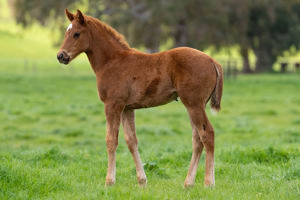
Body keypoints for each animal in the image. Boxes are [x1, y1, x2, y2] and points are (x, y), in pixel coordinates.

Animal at [58, 9, 223, 188]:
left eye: (76, 33)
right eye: (66, 33)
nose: (61, 56)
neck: (112, 61)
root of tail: (213, 61)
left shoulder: (112, 104)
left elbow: (111, 140)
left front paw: (109, 181)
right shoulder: (127, 108)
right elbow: (131, 141)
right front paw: (142, 181)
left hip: (194, 104)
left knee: (207, 134)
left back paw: (209, 183)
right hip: (194, 105)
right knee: (197, 139)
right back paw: (188, 183)